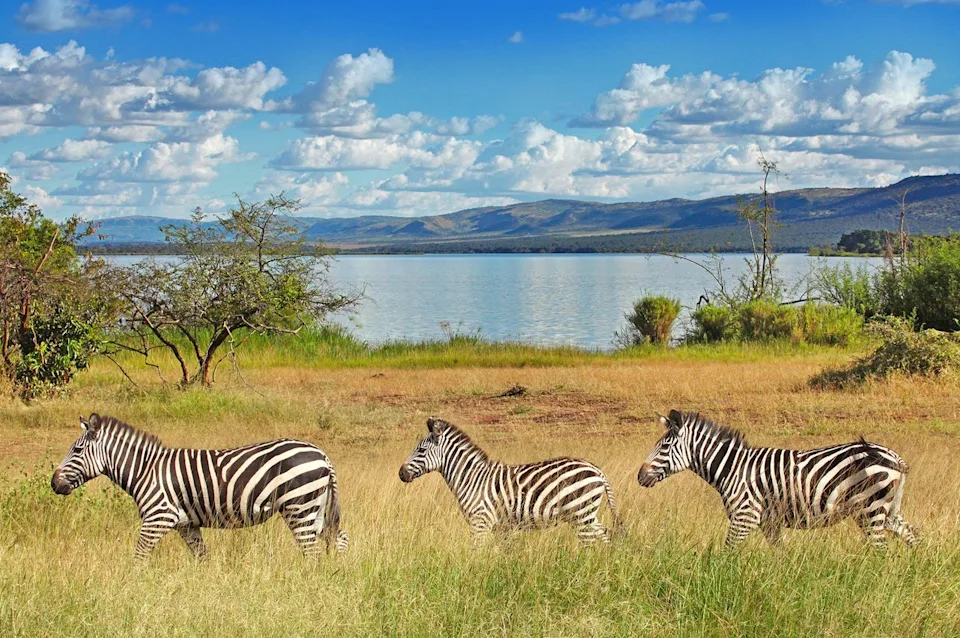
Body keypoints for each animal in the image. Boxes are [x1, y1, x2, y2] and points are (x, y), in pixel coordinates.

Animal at [51, 413, 349, 560]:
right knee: (339, 539)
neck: (145, 470)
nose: (54, 484)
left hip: (300, 507)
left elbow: (139, 556)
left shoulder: (158, 518)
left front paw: (132, 587)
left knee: (312, 552)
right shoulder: (187, 524)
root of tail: (322, 454)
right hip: (316, 507)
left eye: (77, 450)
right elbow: (202, 557)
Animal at [399, 417, 622, 543]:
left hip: (581, 514)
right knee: (606, 537)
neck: (471, 478)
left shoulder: (480, 523)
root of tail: (596, 469)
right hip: (587, 515)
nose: (401, 474)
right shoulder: (500, 528)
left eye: (421, 450)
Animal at [637, 410, 918, 549]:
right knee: (913, 535)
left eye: (664, 447)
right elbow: (780, 555)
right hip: (886, 510)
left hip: (871, 511)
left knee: (881, 550)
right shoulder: (769, 522)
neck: (732, 468)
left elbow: (727, 552)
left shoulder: (745, 517)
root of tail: (895, 457)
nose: (639, 476)